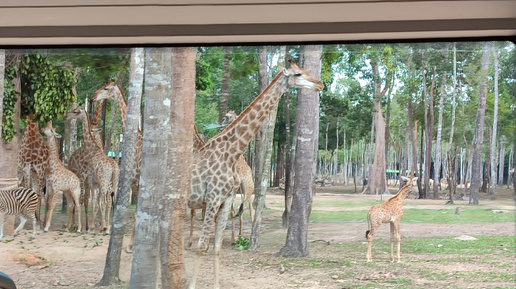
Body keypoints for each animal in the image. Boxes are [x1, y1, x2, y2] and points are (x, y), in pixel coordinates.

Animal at [66, 104, 118, 233]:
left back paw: (104, 228)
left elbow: (91, 201)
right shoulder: (94, 183)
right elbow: (94, 202)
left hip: (104, 183)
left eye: (75, 111)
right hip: (113, 183)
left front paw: (90, 227)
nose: (66, 116)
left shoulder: (88, 180)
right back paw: (107, 227)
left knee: (103, 201)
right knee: (112, 202)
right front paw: (93, 226)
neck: (92, 149)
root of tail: (114, 167)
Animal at [185, 62, 322, 286]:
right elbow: (202, 245)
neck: (230, 153)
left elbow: (216, 247)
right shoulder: (212, 198)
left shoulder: (224, 199)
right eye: (298, 74)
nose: (320, 84)